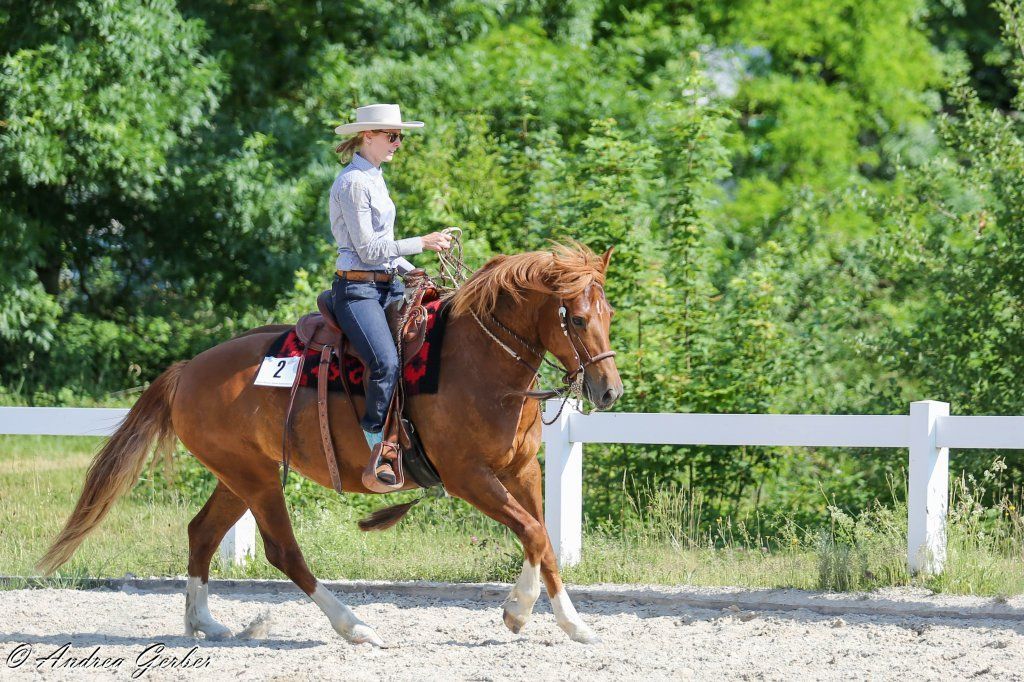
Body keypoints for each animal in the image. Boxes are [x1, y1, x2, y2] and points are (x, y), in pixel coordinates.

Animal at [37, 242, 623, 647]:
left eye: (609, 313)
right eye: (576, 317)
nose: (609, 390)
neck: (479, 362)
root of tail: (187, 370)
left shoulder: (521, 469)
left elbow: (543, 540)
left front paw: (574, 625)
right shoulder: (468, 477)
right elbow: (533, 533)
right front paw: (517, 611)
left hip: (239, 475)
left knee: (202, 533)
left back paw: (207, 622)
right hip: (255, 479)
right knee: (283, 551)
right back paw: (355, 627)